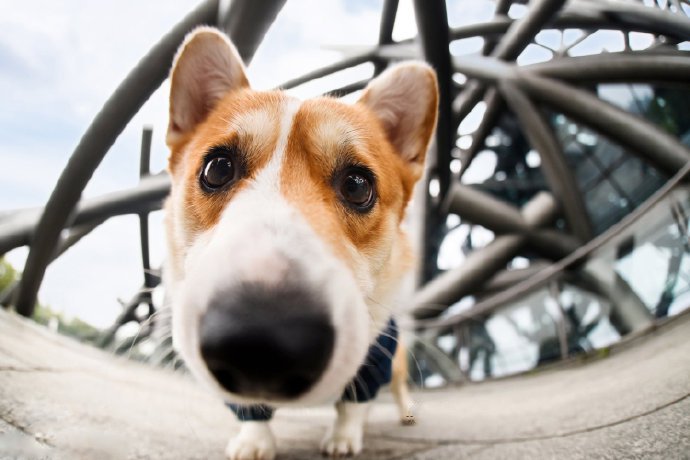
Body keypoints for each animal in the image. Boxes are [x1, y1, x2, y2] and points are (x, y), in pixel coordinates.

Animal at [163, 27, 436, 458]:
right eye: (217, 168)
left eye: (357, 186)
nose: (261, 340)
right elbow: (251, 412)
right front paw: (254, 442)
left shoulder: (375, 359)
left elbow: (353, 405)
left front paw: (343, 438)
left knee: (400, 386)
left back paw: (407, 413)